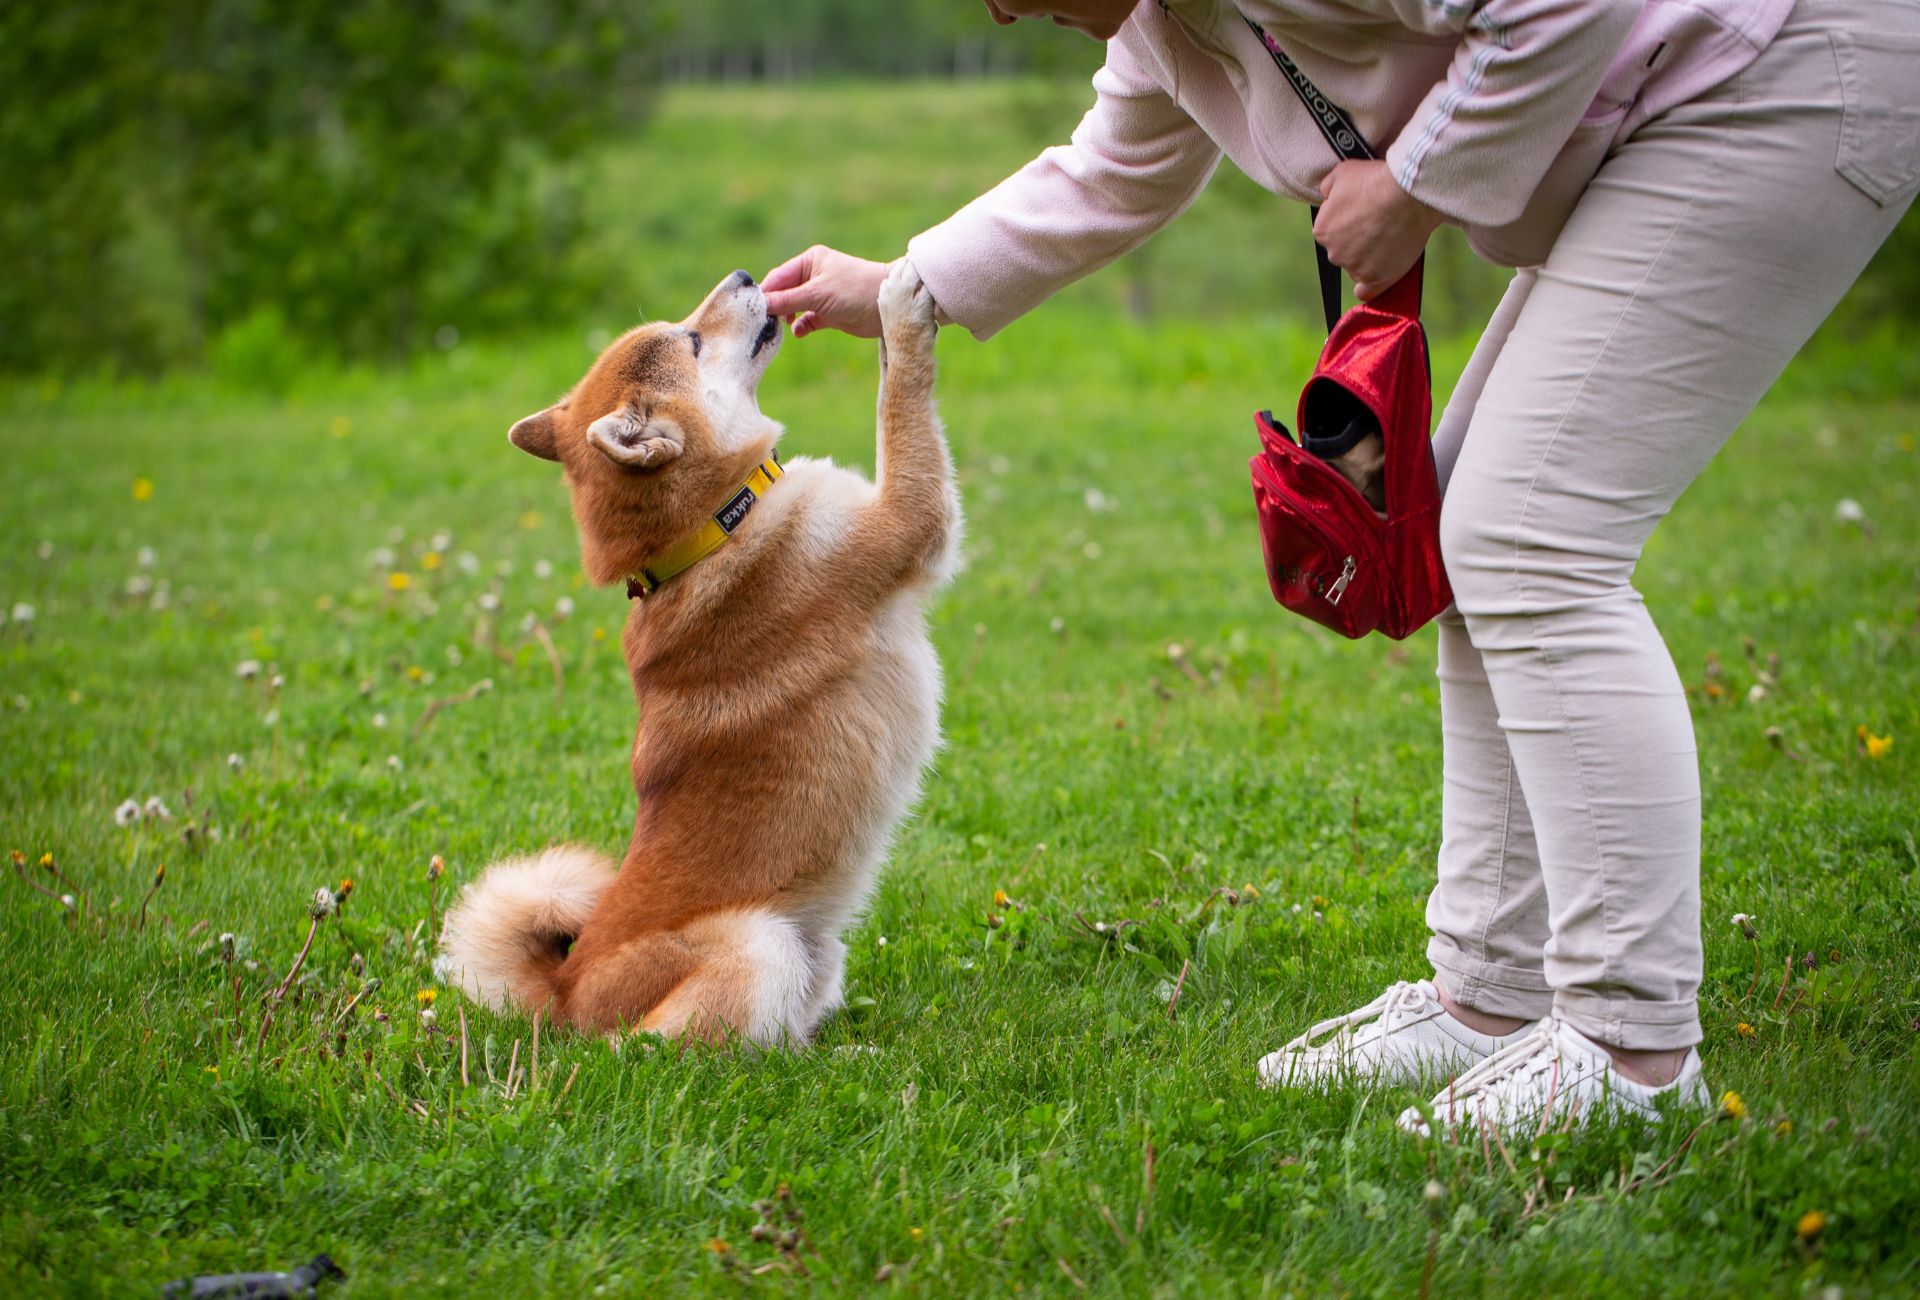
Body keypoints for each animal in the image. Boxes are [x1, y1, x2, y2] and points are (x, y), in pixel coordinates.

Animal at [441, 261, 967, 1044]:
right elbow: (900, 399)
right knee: (671, 1049)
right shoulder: (908, 520)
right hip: (759, 943)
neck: (713, 529)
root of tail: (565, 997)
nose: (746, 274)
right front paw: (900, 309)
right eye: (690, 339)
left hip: (813, 952)